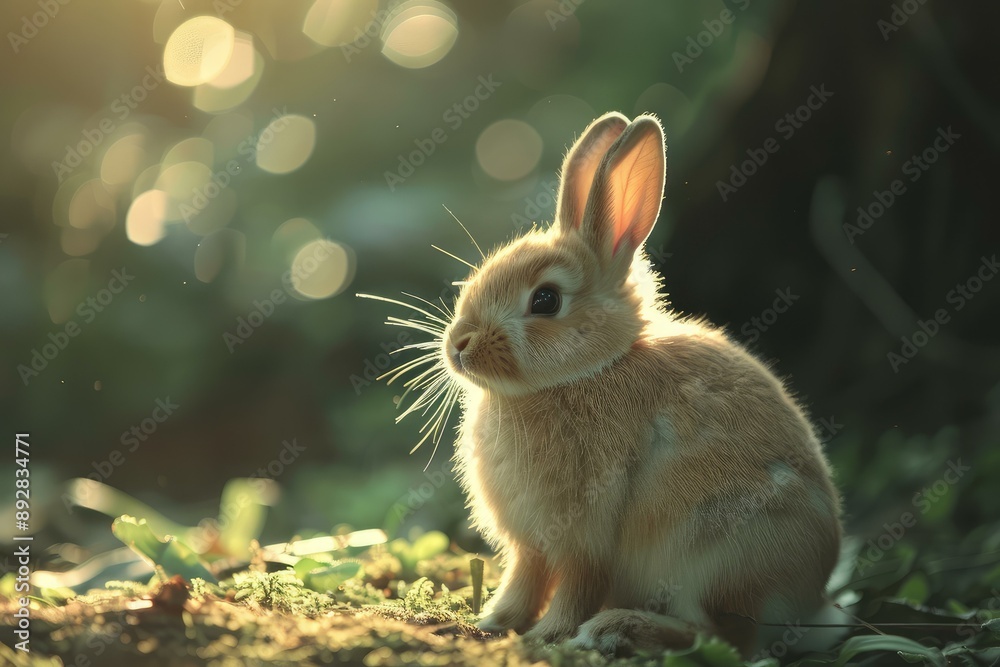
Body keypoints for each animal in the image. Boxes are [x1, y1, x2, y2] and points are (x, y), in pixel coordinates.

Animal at [382, 111, 843, 657]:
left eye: (545, 300)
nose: (459, 345)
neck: (586, 371)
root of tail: (811, 602)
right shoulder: (530, 544)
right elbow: (524, 579)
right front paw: (494, 620)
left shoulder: (584, 532)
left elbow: (575, 584)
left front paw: (548, 636)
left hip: (708, 552)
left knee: (719, 636)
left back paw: (616, 629)